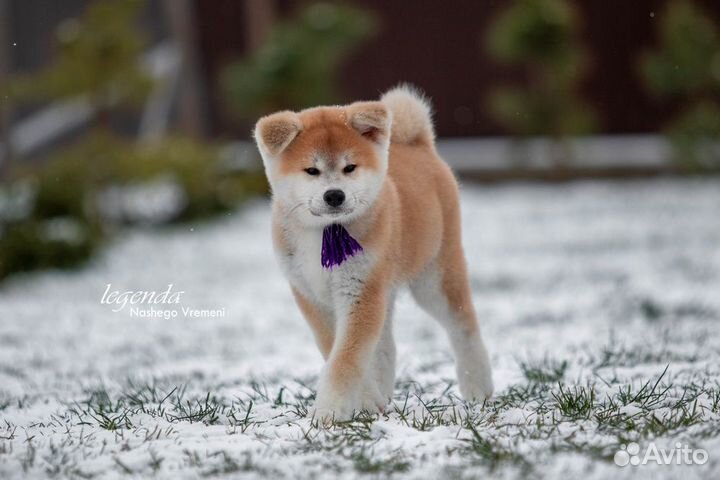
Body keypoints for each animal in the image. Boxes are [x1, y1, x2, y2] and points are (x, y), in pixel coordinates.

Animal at [255, 85, 496, 420]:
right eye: (312, 170)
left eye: (349, 167)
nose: (334, 195)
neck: (323, 233)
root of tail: (418, 145)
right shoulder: (310, 294)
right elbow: (339, 351)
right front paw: (368, 401)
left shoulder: (360, 290)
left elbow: (346, 359)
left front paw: (330, 410)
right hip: (387, 286)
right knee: (385, 347)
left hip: (434, 278)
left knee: (464, 326)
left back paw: (477, 386)